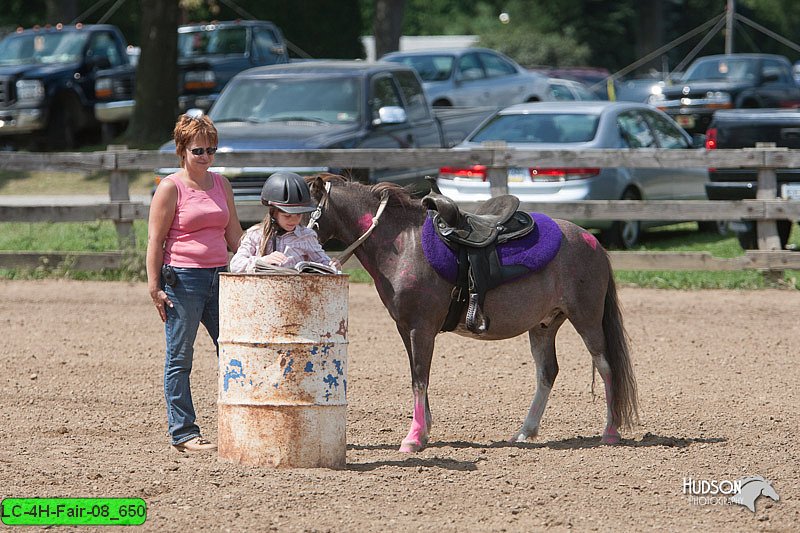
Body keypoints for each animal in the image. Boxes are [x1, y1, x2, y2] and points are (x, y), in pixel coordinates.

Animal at [306, 174, 636, 448]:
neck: (402, 244)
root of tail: (592, 241)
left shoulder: (420, 328)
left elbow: (419, 378)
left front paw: (413, 438)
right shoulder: (405, 328)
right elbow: (417, 376)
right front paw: (423, 432)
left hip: (587, 319)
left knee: (606, 367)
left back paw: (610, 431)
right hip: (544, 325)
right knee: (547, 372)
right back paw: (525, 431)